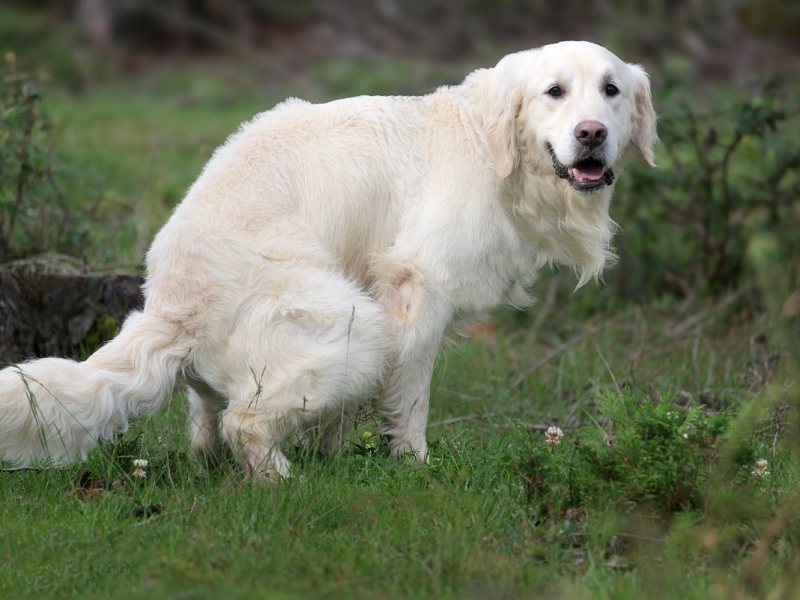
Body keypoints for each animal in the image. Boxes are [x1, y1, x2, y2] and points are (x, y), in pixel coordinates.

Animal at [0, 41, 656, 482]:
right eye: (554, 92)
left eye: (612, 90)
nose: (592, 134)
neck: (496, 150)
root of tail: (172, 306)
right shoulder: (415, 293)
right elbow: (409, 401)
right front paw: (413, 466)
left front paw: (338, 454)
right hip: (358, 328)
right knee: (245, 421)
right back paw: (282, 481)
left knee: (207, 415)